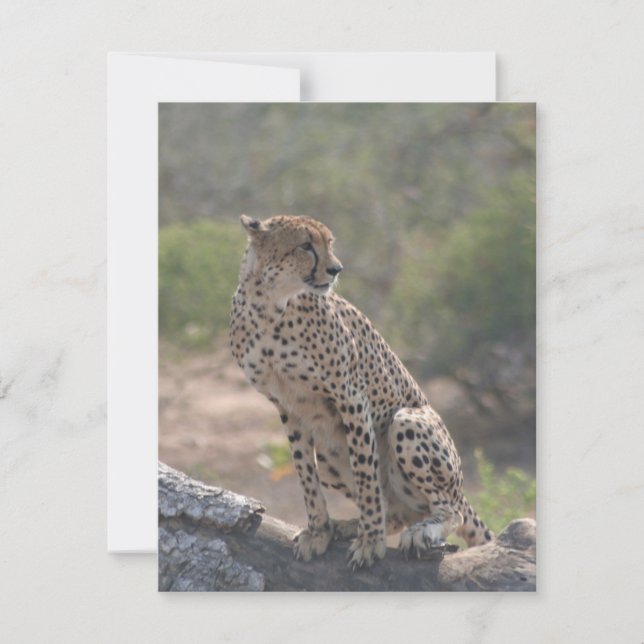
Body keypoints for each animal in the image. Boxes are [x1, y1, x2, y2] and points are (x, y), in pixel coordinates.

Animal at [230, 214, 493, 569]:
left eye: (329, 243)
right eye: (305, 245)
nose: (336, 269)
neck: (270, 305)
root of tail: (460, 491)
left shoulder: (350, 396)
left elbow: (366, 476)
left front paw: (370, 541)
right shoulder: (287, 406)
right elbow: (305, 473)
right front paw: (319, 530)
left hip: (408, 422)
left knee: (451, 512)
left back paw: (420, 531)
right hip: (329, 455)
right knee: (400, 512)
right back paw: (347, 525)